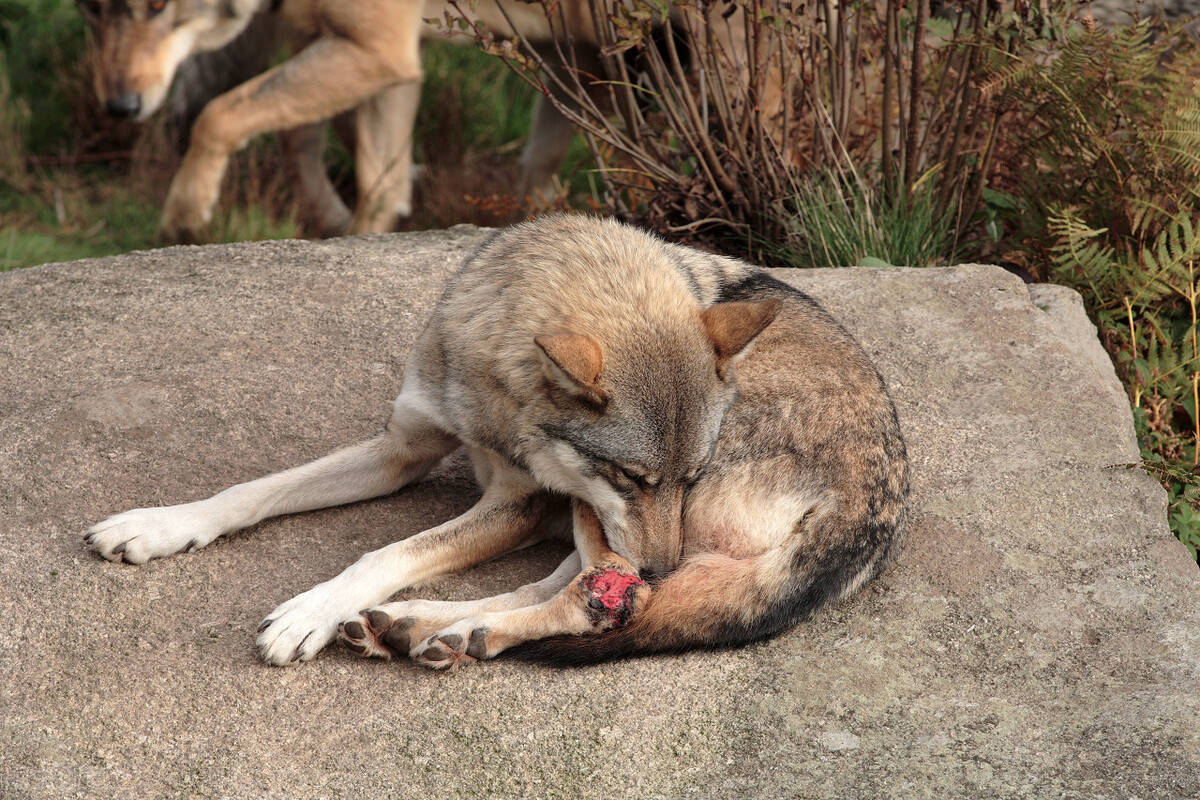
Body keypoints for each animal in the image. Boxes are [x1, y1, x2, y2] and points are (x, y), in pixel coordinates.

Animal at [84, 214, 907, 671]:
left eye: (690, 474)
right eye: (634, 477)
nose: (662, 564)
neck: (493, 400)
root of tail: (872, 514)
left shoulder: (522, 504)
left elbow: (383, 554)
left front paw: (310, 612)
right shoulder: (402, 449)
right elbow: (252, 490)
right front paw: (159, 526)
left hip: (589, 521)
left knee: (603, 601)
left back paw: (429, 627)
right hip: (596, 527)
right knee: (584, 590)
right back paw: (422, 629)